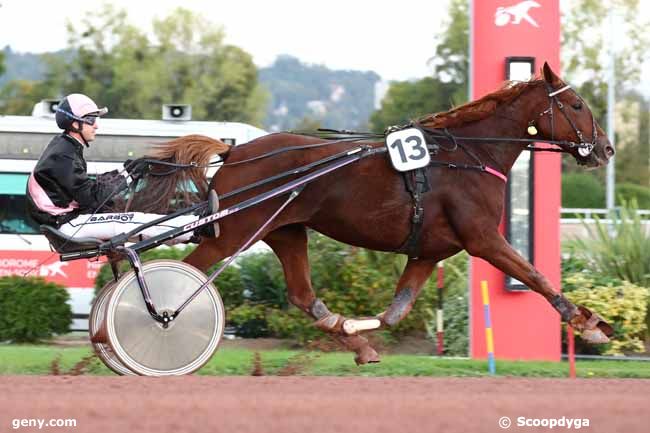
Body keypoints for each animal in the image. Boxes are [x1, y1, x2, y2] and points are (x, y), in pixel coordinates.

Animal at [133, 62, 612, 362]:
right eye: (576, 105)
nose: (605, 149)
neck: (469, 155)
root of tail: (235, 152)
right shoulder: (482, 238)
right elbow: (534, 275)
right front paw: (588, 323)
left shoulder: (429, 252)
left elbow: (394, 312)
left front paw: (358, 336)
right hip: (235, 232)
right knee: (186, 275)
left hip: (286, 231)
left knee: (303, 295)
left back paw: (354, 343)